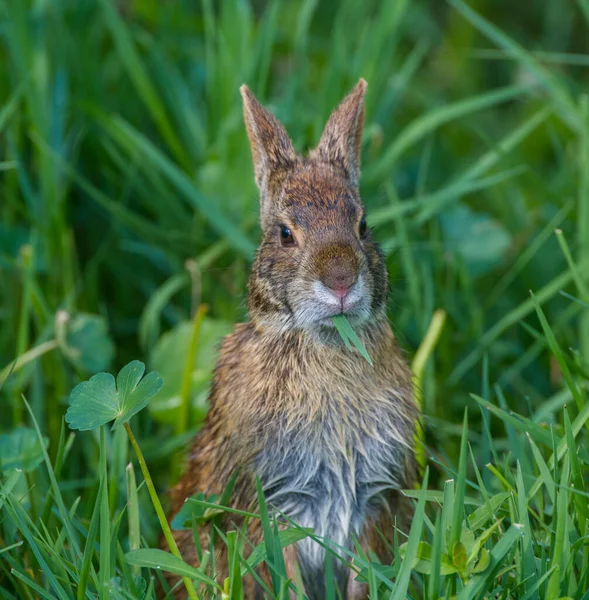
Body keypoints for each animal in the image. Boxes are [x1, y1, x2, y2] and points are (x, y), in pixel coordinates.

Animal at [162, 81, 418, 600]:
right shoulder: (277, 508)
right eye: (284, 234)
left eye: (362, 225)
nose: (340, 280)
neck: (323, 343)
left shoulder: (369, 504)